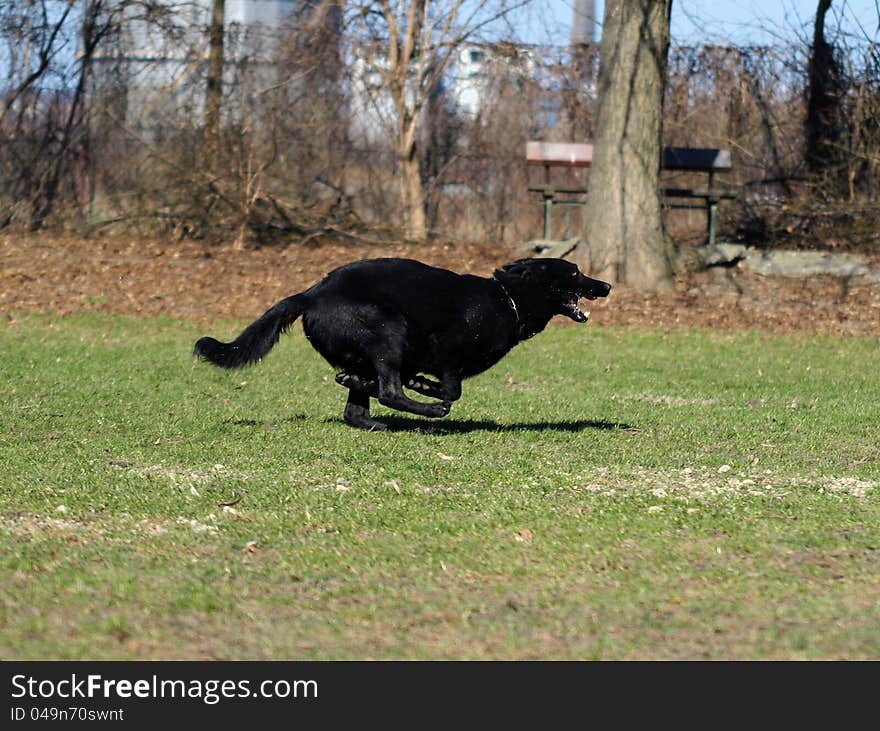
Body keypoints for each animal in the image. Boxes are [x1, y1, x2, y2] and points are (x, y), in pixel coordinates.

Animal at [194, 258, 612, 428]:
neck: (507, 298)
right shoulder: (445, 348)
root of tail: (310, 295)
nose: (606, 285)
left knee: (358, 407)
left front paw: (418, 384)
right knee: (389, 392)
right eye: (575, 273)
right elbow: (453, 388)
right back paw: (425, 409)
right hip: (389, 331)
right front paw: (426, 388)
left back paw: (366, 400)